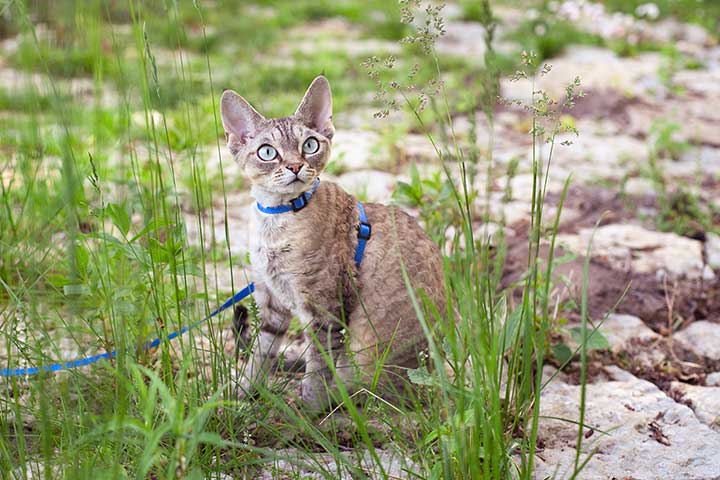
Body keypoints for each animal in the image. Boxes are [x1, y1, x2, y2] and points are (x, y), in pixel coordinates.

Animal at [219, 76, 444, 412]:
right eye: (267, 152)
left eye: (309, 145)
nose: (295, 167)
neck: (275, 222)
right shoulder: (272, 302)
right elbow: (261, 354)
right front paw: (243, 392)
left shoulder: (326, 310)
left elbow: (317, 368)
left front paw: (307, 412)